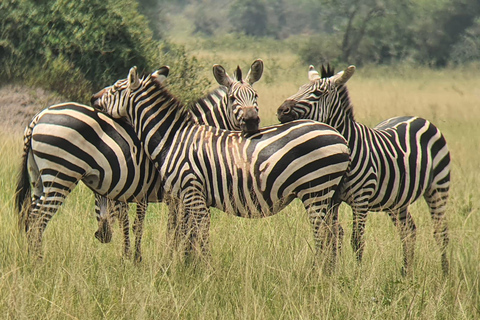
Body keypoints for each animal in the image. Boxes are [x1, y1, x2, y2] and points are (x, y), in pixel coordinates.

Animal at [15, 60, 264, 260]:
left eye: (255, 96)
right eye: (233, 98)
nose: (253, 122)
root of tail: (38, 116)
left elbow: (170, 228)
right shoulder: (180, 192)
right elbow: (181, 229)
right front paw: (179, 259)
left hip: (39, 178)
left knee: (30, 217)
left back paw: (31, 261)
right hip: (62, 174)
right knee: (38, 219)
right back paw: (38, 264)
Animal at [92, 66, 350, 272]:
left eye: (116, 89)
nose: (93, 98)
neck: (172, 138)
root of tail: (338, 136)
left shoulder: (191, 190)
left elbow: (197, 233)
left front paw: (204, 271)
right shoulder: (184, 197)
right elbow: (186, 233)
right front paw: (186, 267)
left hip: (315, 188)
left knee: (323, 232)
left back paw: (317, 273)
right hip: (326, 194)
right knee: (335, 231)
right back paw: (330, 272)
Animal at [276, 65, 452, 276]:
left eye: (318, 93)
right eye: (300, 88)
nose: (281, 110)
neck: (348, 147)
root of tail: (416, 118)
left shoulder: (361, 199)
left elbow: (357, 240)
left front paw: (357, 277)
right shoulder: (332, 198)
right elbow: (332, 236)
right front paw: (331, 273)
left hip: (438, 186)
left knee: (440, 232)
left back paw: (445, 275)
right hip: (397, 199)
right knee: (408, 231)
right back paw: (406, 274)